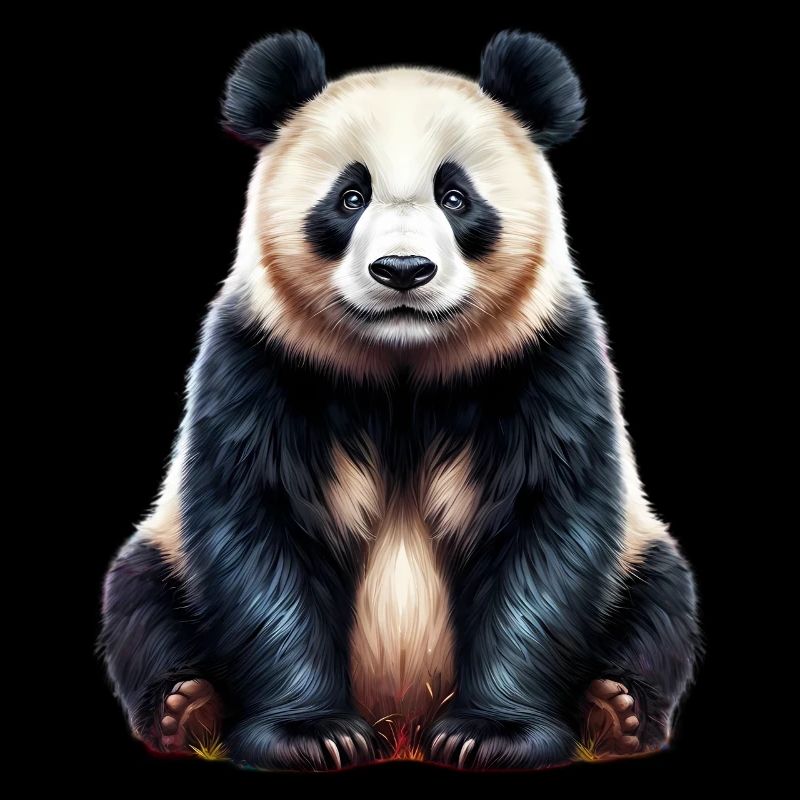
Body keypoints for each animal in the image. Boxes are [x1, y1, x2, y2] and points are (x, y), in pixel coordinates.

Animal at [100, 30, 700, 771]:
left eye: (456, 197)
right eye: (350, 196)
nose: (404, 270)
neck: (402, 363)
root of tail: (401, 721)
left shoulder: (545, 361)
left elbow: (545, 528)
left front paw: (490, 736)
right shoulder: (261, 361)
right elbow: (260, 528)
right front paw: (311, 736)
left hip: (637, 555)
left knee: (662, 602)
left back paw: (617, 712)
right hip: (167, 552)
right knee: (139, 599)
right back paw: (185, 709)